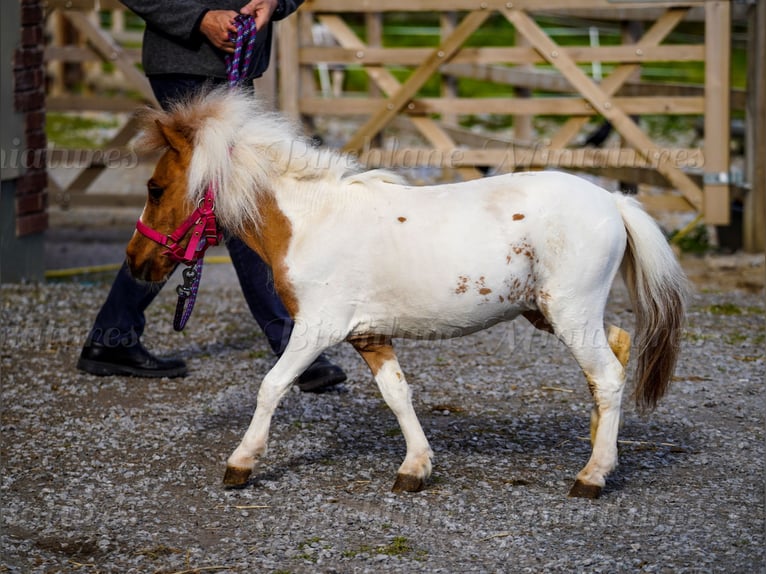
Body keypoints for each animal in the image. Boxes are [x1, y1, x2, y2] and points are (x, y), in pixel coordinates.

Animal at [126, 88, 687, 498]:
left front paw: (241, 463)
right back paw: (601, 456)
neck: (311, 221)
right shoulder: (367, 334)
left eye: (156, 188)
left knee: (608, 377)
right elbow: (397, 395)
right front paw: (415, 469)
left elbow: (272, 385)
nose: (136, 262)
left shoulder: (316, 329)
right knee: (614, 352)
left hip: (569, 312)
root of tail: (614, 202)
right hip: (549, 313)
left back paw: (592, 476)